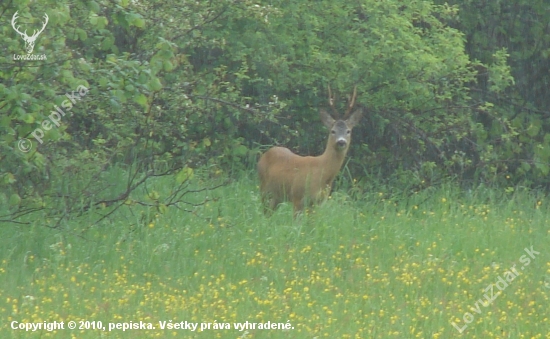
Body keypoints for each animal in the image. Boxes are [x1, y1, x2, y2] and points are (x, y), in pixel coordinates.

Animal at [258, 86, 364, 216]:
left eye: (348, 131)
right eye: (332, 131)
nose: (341, 142)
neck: (322, 173)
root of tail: (265, 154)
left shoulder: (317, 203)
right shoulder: (297, 197)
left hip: (278, 195)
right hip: (264, 187)